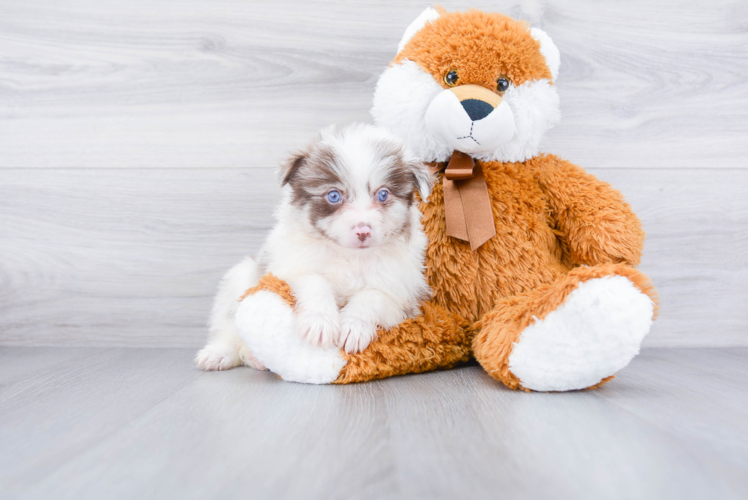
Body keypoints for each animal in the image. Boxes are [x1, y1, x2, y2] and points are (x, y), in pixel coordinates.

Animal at [196, 122, 436, 372]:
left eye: (383, 194)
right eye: (334, 195)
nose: (363, 231)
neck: (349, 257)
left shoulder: (404, 297)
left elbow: (373, 296)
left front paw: (354, 326)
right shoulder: (288, 269)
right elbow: (314, 282)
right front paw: (319, 323)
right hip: (239, 278)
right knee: (228, 325)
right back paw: (221, 353)